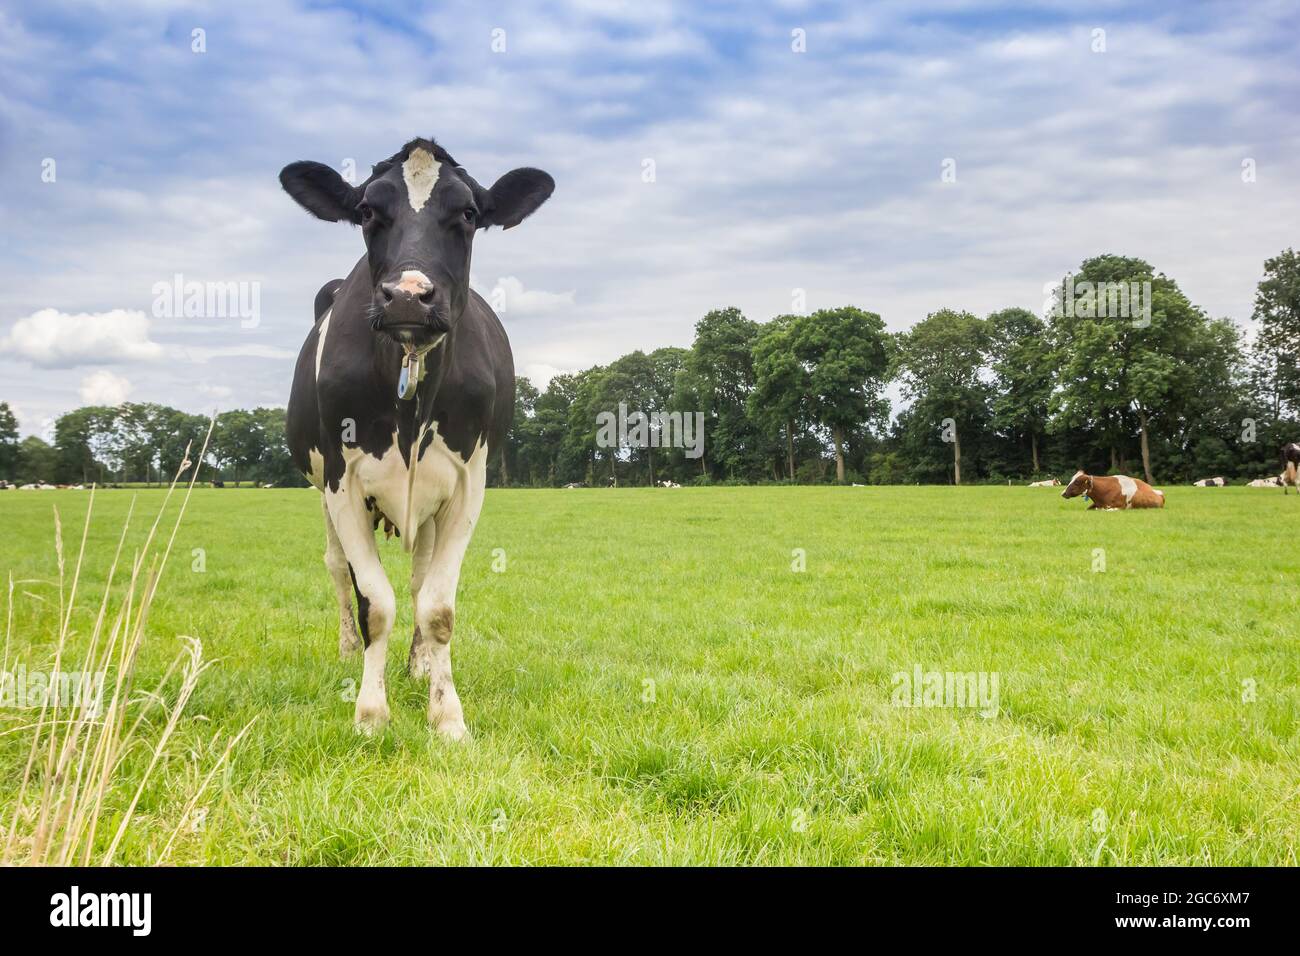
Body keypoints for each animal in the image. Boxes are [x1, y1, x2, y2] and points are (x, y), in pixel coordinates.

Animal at [280, 137, 553, 738]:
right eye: (366, 211)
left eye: (469, 214)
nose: (408, 297)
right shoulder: (341, 480)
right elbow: (374, 602)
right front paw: (370, 713)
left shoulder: (469, 482)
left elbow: (436, 605)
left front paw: (446, 714)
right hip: (321, 491)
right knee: (338, 569)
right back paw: (347, 650)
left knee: (417, 579)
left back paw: (419, 663)